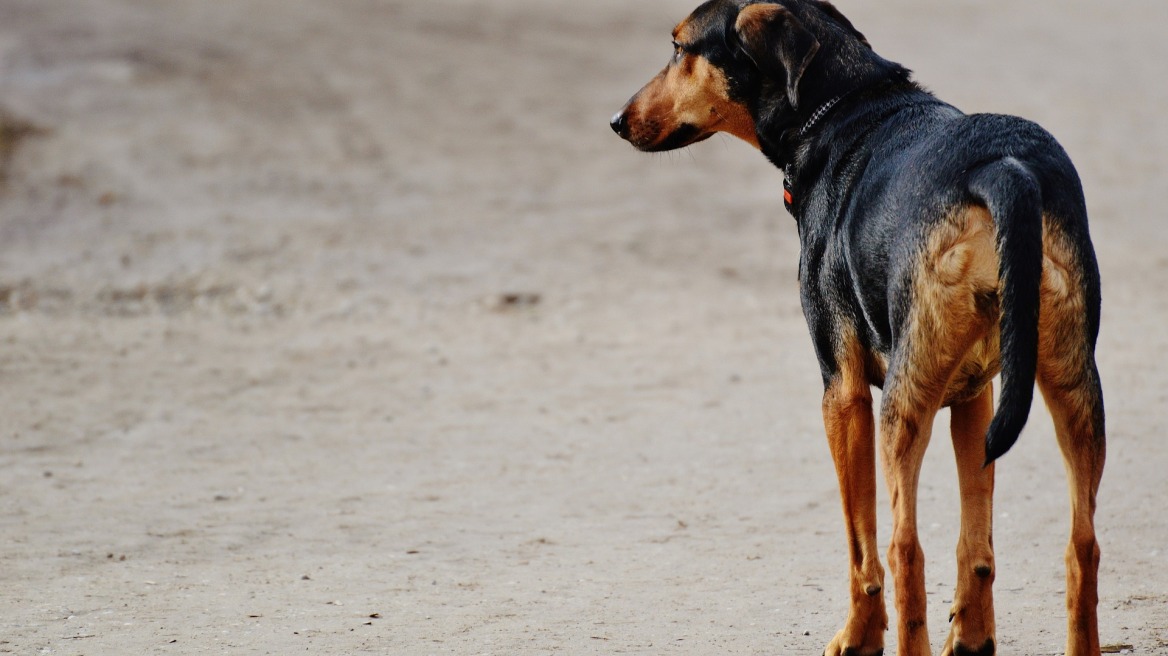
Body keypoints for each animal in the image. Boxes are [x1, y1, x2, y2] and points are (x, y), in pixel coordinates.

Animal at [612, 1, 1102, 653]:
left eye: (678, 48)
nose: (616, 121)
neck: (845, 105)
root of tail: (1004, 171)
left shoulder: (841, 393)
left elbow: (859, 542)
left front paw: (859, 634)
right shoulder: (974, 395)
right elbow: (975, 544)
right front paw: (972, 636)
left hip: (903, 402)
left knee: (903, 548)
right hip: (1073, 386)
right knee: (1082, 545)